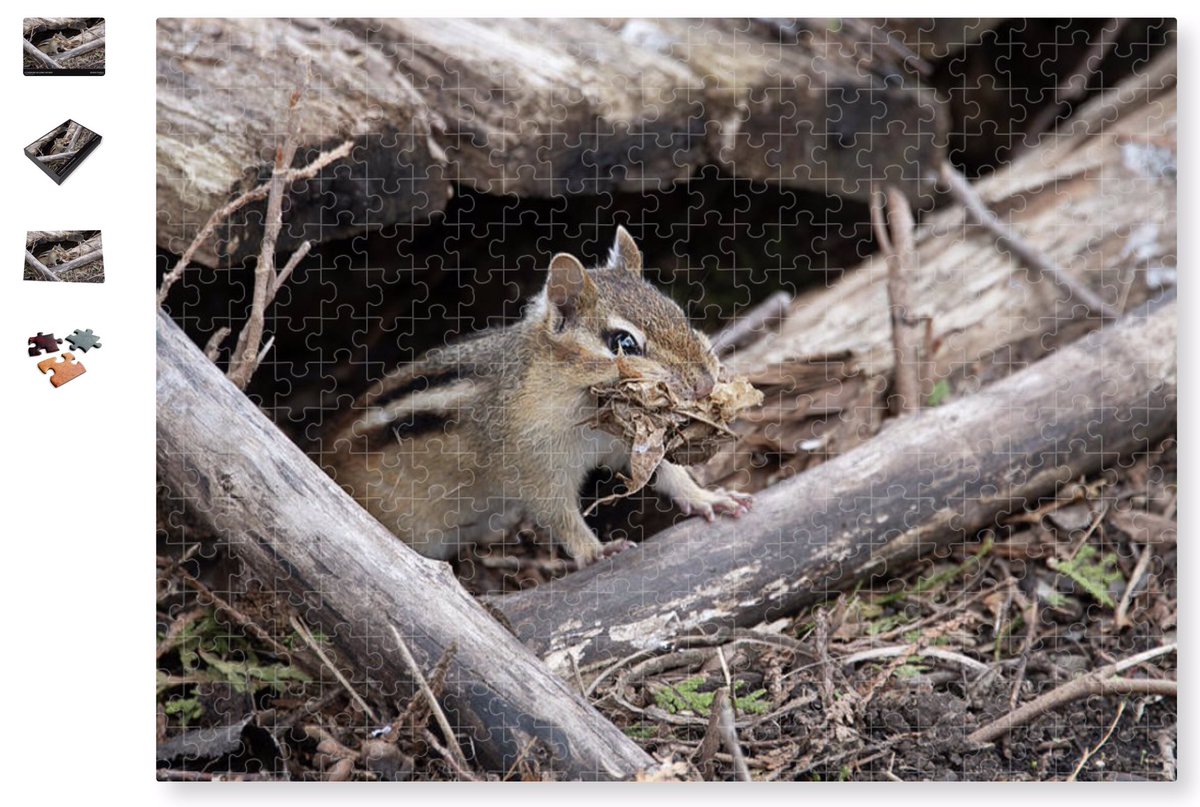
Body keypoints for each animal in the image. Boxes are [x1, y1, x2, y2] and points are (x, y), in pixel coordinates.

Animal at [323, 227, 752, 565]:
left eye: (678, 312)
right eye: (624, 343)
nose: (705, 383)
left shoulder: (619, 441)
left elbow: (665, 471)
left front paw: (706, 496)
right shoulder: (533, 466)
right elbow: (559, 514)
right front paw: (596, 550)